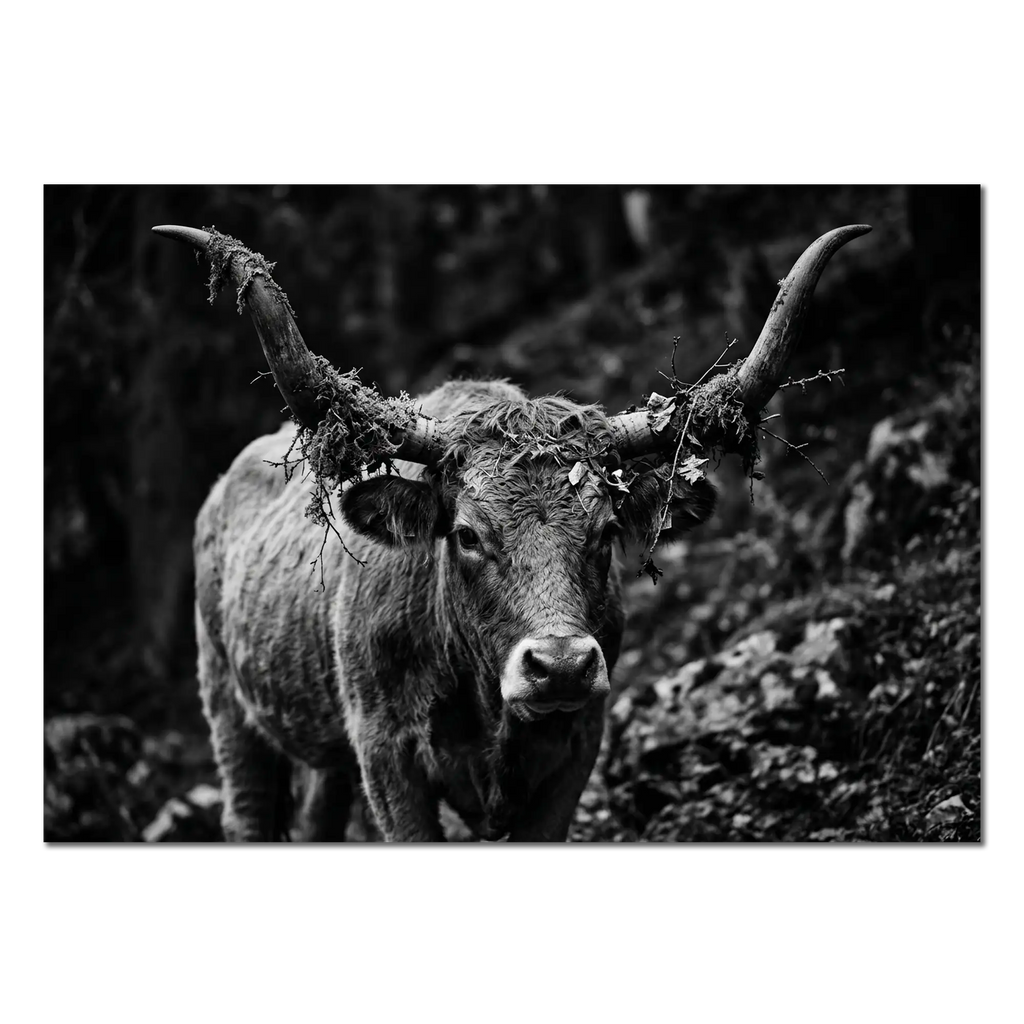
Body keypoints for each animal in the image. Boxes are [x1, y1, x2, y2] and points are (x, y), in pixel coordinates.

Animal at [154, 221, 870, 842]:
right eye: (467, 534)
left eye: (607, 531)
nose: (560, 666)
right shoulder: (388, 758)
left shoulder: (575, 750)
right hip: (232, 717)